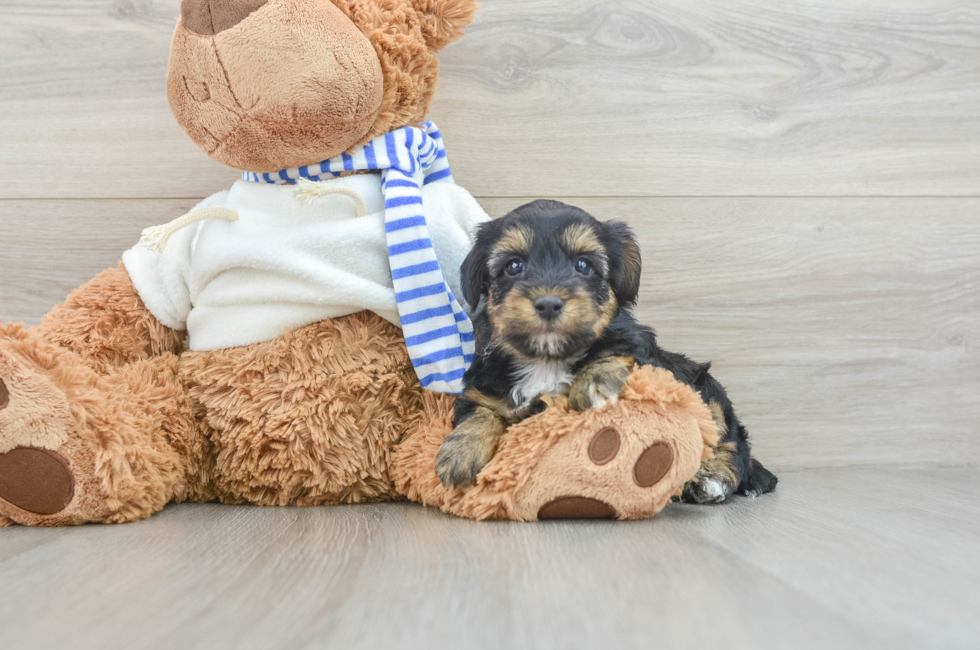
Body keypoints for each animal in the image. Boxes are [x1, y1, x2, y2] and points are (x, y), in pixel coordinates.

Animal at [438, 197, 780, 502]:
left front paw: (593, 384)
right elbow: (479, 412)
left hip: (708, 392)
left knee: (731, 447)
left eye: (583, 265)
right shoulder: (482, 388)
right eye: (513, 266)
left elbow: (615, 352)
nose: (548, 303)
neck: (547, 360)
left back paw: (710, 479)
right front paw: (459, 453)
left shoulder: (643, 352)